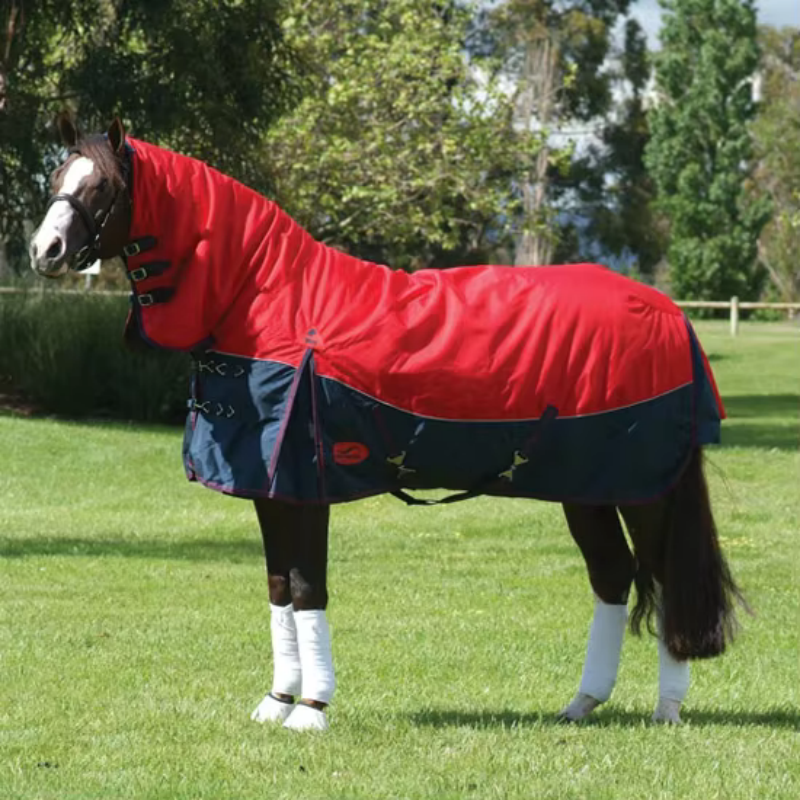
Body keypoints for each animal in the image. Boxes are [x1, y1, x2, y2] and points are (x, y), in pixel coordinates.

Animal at [29, 117, 744, 732]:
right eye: (57, 175)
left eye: (103, 186)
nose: (45, 250)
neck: (268, 302)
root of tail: (669, 313)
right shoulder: (269, 491)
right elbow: (278, 587)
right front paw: (275, 702)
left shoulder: (303, 488)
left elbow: (307, 588)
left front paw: (312, 709)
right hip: (586, 488)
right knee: (613, 576)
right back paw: (581, 703)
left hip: (642, 489)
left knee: (663, 575)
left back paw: (666, 710)